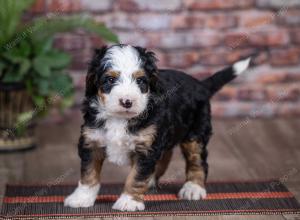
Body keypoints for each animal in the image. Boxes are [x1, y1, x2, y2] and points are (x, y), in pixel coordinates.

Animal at [64, 43, 252, 211]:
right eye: (110, 79)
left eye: (140, 81)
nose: (127, 101)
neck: (120, 118)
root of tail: (200, 84)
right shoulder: (92, 141)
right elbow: (89, 173)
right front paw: (81, 198)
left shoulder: (146, 148)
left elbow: (136, 176)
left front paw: (129, 201)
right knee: (165, 156)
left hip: (196, 133)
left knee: (198, 161)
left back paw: (193, 188)